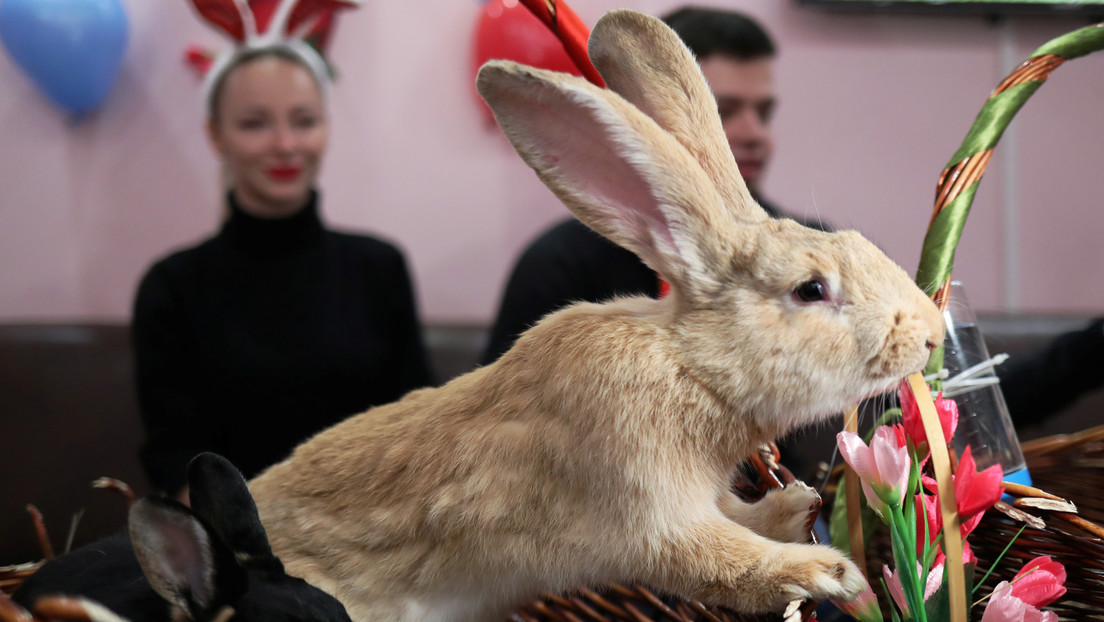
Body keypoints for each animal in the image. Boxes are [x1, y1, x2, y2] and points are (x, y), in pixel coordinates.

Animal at [248, 8, 945, 622]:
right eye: (810, 289)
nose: (932, 336)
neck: (690, 366)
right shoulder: (645, 512)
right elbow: (719, 560)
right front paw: (827, 572)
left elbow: (735, 517)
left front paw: (793, 507)